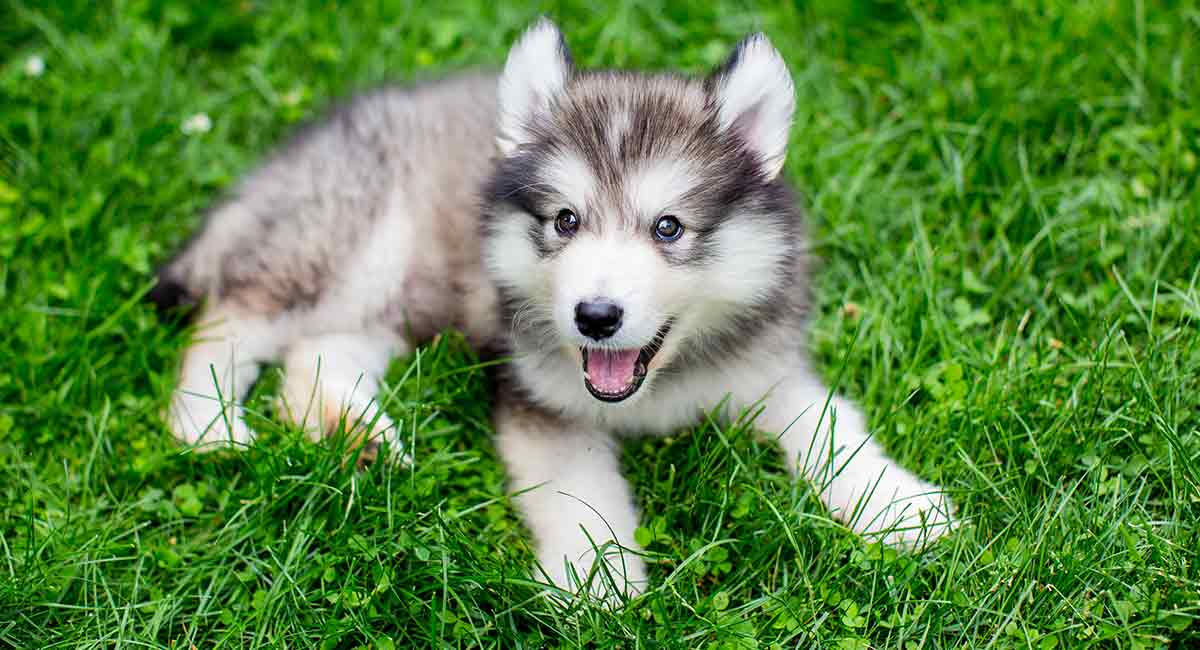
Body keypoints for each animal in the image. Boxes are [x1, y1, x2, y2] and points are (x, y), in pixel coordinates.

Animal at [152, 17, 955, 599]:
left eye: (669, 228)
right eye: (565, 220)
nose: (595, 317)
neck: (657, 391)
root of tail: (280, 163)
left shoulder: (767, 368)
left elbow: (829, 424)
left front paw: (897, 505)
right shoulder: (542, 403)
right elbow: (579, 491)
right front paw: (597, 577)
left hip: (400, 297)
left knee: (316, 353)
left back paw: (354, 436)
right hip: (351, 248)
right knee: (233, 319)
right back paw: (209, 424)